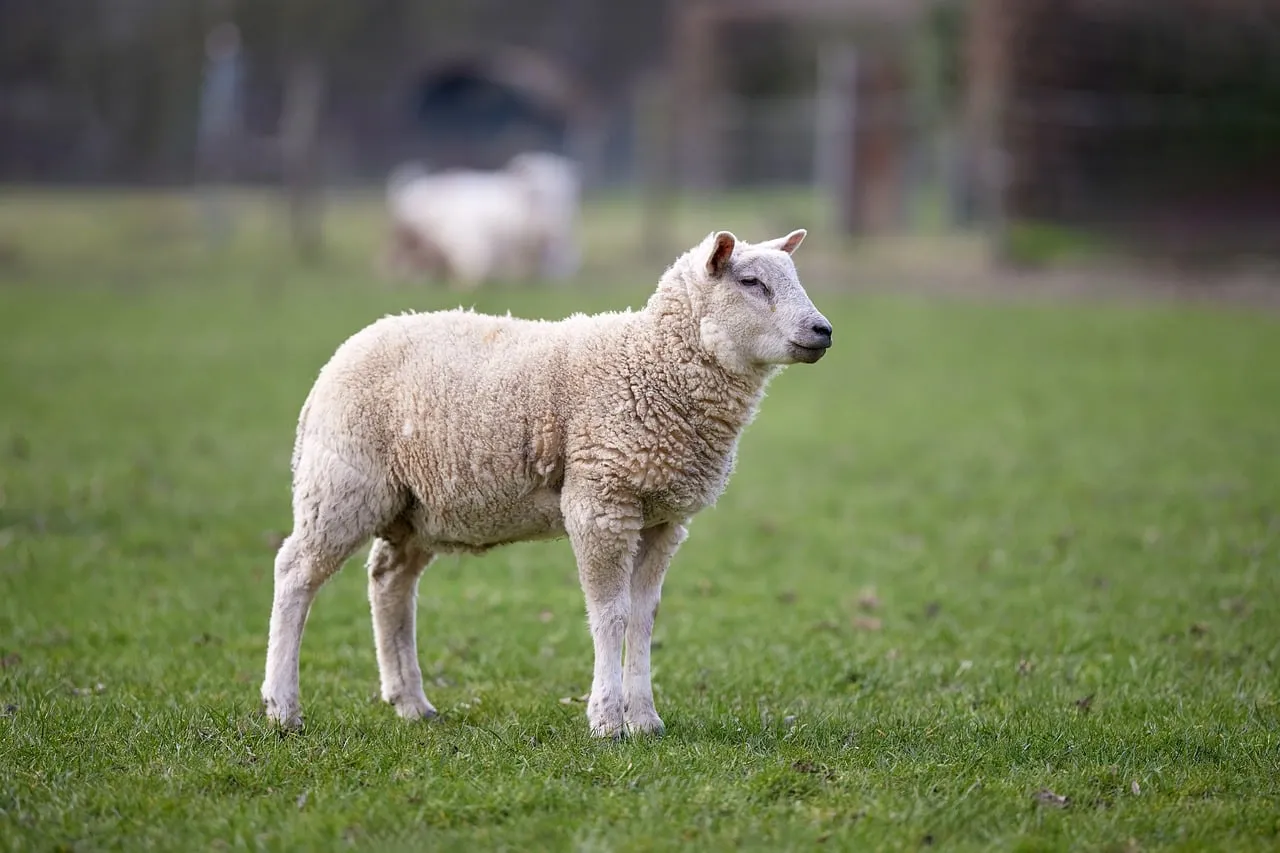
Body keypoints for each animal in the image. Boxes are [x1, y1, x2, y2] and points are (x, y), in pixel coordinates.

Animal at [261, 227, 833, 737]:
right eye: (751, 281)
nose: (823, 330)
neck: (651, 364)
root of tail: (351, 346)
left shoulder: (664, 518)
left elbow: (643, 618)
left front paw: (646, 720)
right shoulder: (600, 502)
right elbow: (610, 615)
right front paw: (606, 720)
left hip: (416, 506)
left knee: (389, 582)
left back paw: (411, 703)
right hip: (343, 482)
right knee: (294, 573)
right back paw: (282, 708)